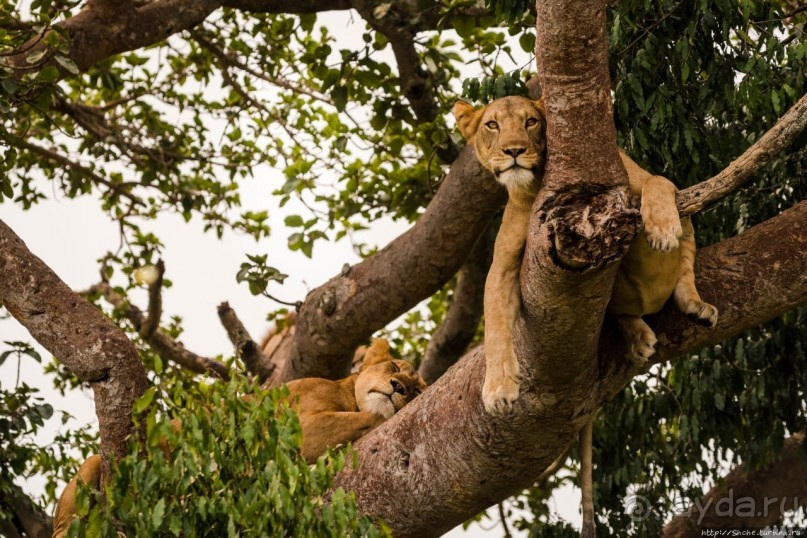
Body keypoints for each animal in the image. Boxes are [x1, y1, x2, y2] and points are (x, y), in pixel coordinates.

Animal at [52, 338, 426, 532]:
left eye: (417, 390)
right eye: (394, 367)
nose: (399, 388)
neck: (346, 391)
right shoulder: (298, 429)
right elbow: (367, 416)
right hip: (91, 468)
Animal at [454, 96, 720, 412]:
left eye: (531, 122)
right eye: (492, 125)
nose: (514, 150)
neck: (534, 186)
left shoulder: (645, 185)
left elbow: (657, 181)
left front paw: (663, 230)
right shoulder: (502, 267)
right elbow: (494, 323)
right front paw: (497, 389)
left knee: (685, 264)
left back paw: (695, 305)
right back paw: (639, 336)